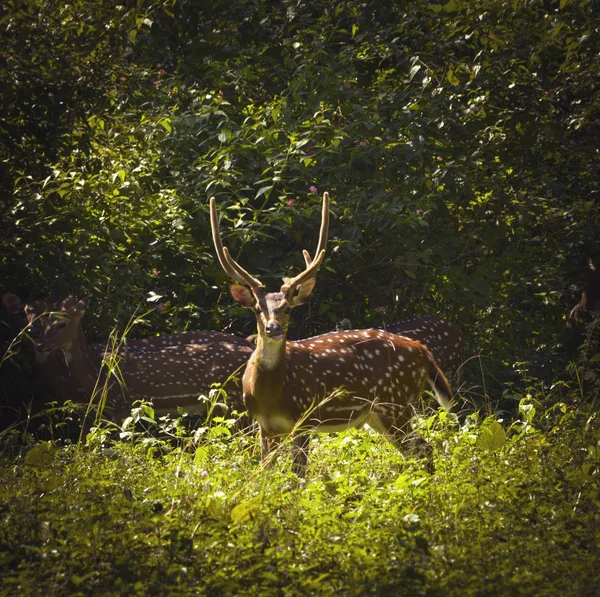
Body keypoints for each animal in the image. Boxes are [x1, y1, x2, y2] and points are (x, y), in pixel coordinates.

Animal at [210, 193, 450, 472]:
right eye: (258, 309)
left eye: (287, 309)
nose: (273, 328)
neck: (271, 394)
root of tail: (423, 350)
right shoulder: (264, 426)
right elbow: (265, 472)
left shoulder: (304, 417)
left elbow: (298, 475)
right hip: (379, 415)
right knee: (417, 449)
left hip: (396, 402)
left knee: (424, 448)